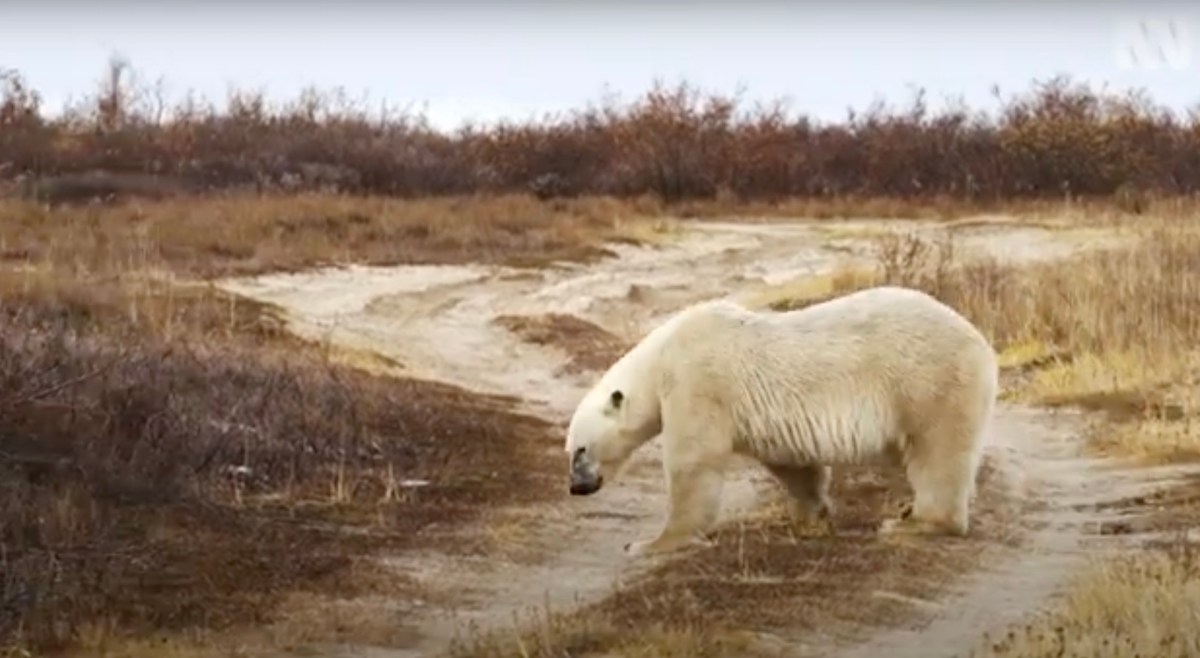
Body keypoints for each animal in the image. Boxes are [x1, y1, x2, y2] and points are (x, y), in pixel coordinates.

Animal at [566, 286, 998, 554]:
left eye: (580, 450)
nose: (576, 487)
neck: (660, 359)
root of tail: (982, 343)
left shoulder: (698, 381)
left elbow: (693, 464)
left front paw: (649, 544)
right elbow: (792, 463)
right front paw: (813, 512)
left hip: (928, 380)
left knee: (937, 454)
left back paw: (914, 523)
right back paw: (908, 511)